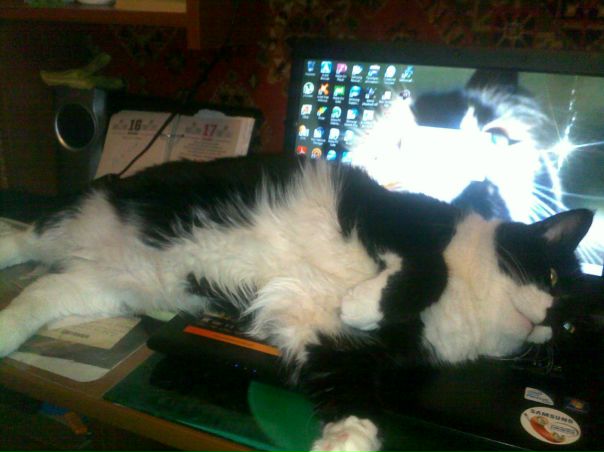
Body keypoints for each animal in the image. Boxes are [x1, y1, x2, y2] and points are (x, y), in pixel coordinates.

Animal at [0, 154, 593, 451]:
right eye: (552, 275)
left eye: (569, 332)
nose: (549, 320)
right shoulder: (396, 219)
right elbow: (428, 268)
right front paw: (365, 302)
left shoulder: (334, 346)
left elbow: (357, 401)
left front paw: (345, 442)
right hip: (82, 219)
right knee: (23, 236)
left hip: (103, 287)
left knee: (38, 292)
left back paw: (5, 330)